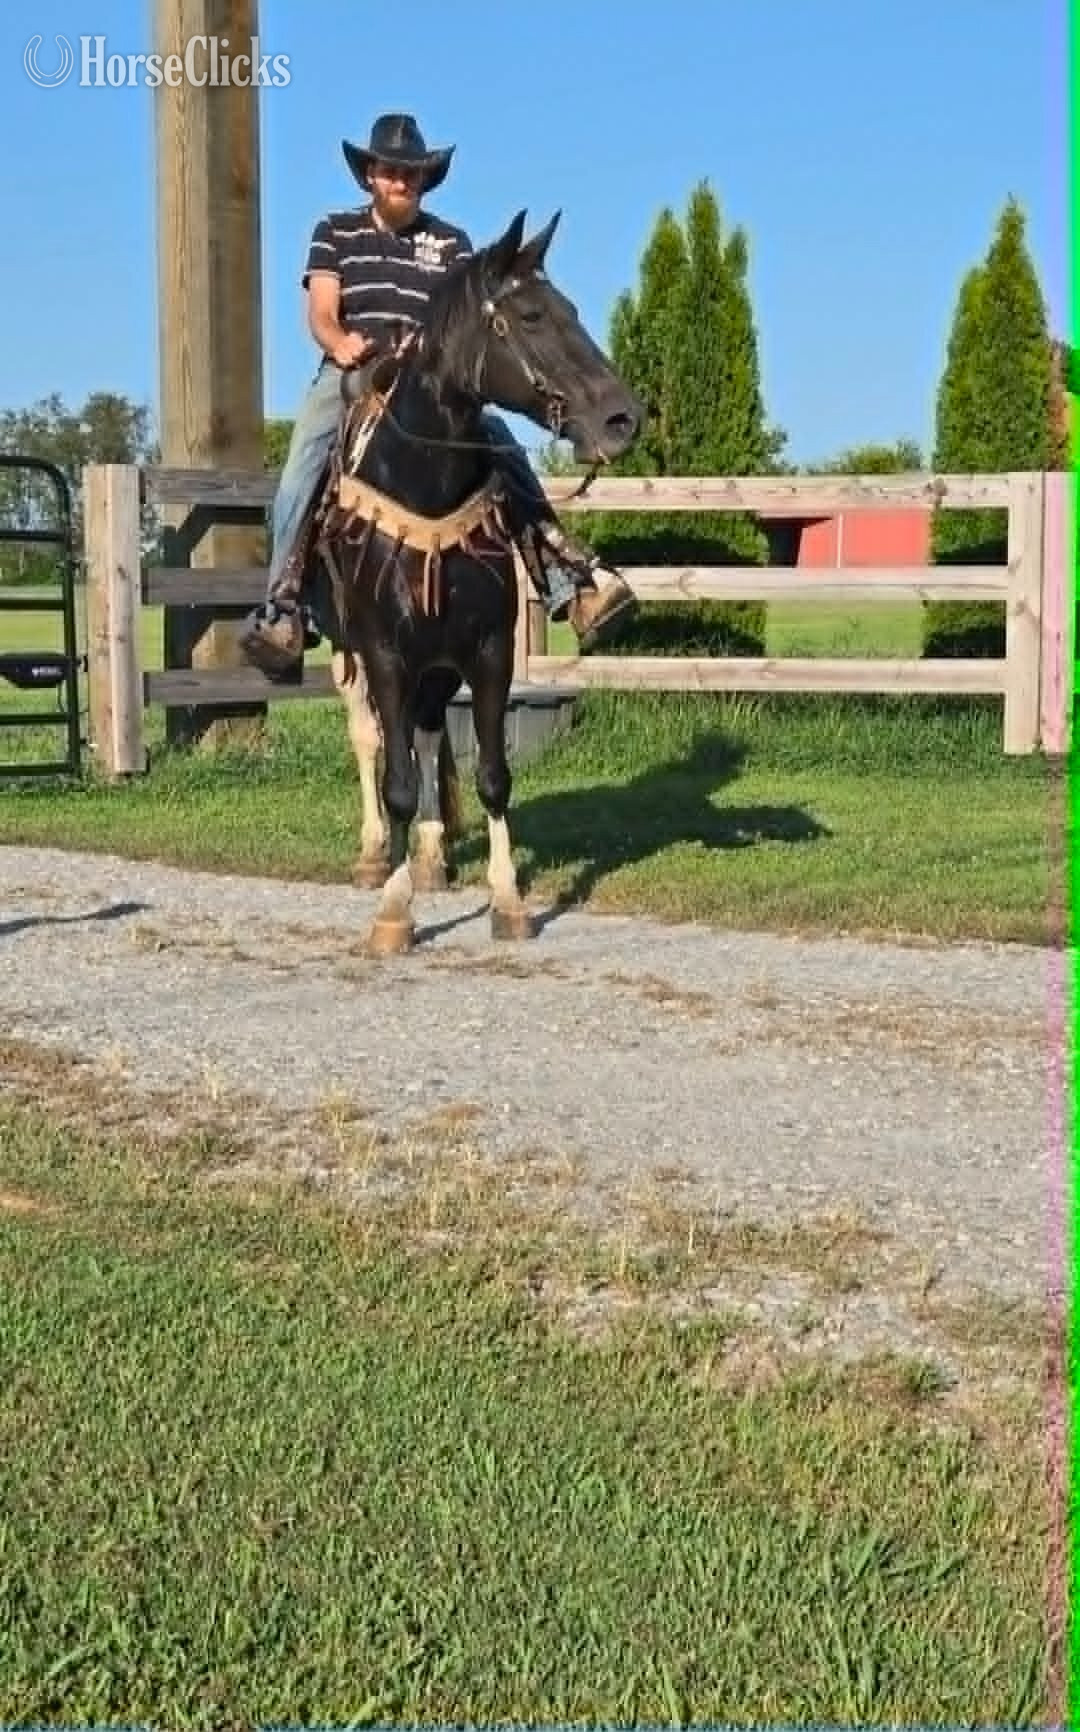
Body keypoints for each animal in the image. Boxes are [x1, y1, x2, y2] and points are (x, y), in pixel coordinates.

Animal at [307, 207, 642, 954]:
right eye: (530, 315)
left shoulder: (488, 652)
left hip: (436, 665)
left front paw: (508, 900)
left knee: (429, 735)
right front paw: (394, 912)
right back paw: (376, 854)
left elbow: (491, 776)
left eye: (570, 309)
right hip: (348, 651)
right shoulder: (385, 653)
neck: (426, 486)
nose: (623, 418)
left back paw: (432, 855)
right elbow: (397, 778)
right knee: (369, 738)